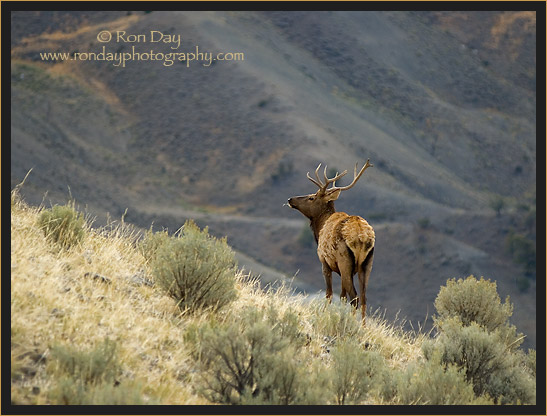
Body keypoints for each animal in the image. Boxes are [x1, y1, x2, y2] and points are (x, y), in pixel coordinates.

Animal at [286, 161, 376, 324]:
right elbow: (342, 296)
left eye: (312, 197)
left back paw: (350, 323)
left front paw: (324, 314)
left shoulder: (325, 262)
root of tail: (362, 237)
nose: (290, 199)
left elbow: (329, 294)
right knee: (364, 297)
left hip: (344, 260)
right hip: (366, 264)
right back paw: (363, 326)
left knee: (355, 297)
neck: (320, 228)